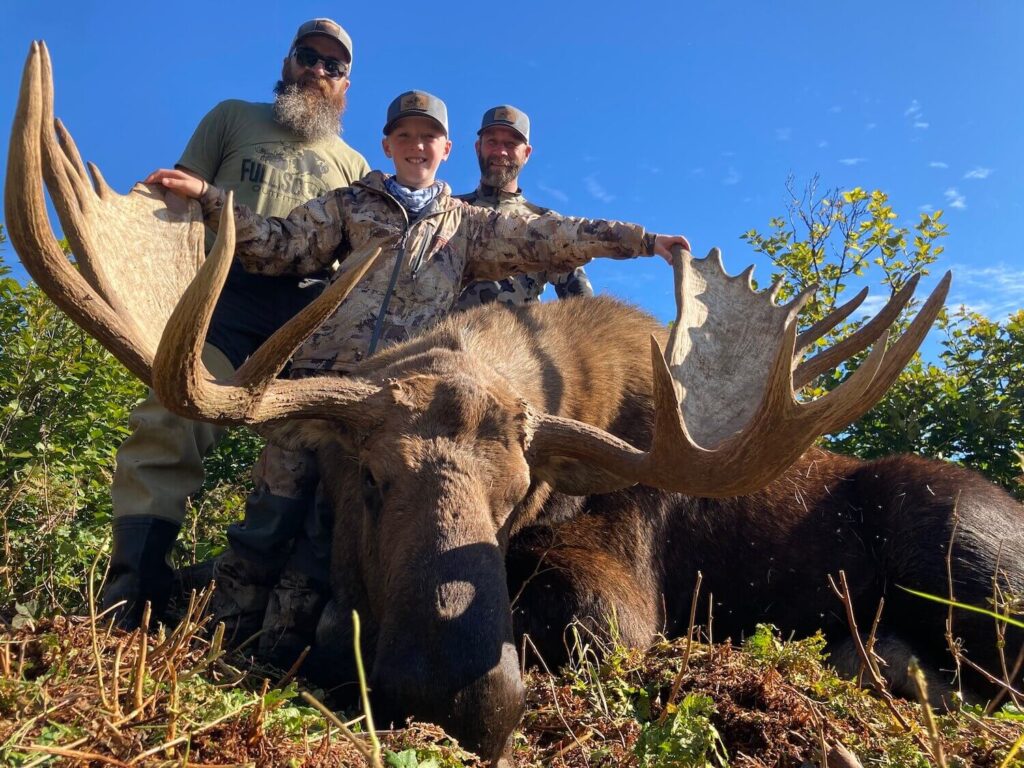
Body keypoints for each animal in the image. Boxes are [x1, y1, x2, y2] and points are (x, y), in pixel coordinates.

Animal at [8, 43, 1024, 768]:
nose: (463, 697)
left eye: (515, 496)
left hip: (968, 542)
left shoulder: (623, 581)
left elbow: (590, 624)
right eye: (368, 480)